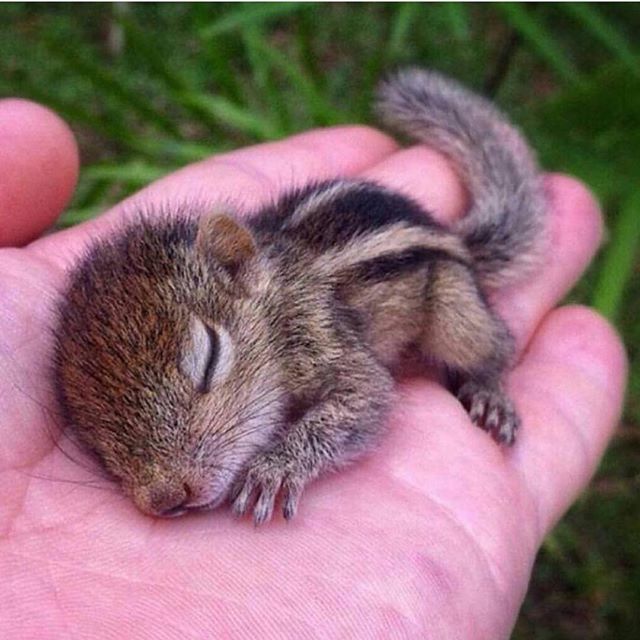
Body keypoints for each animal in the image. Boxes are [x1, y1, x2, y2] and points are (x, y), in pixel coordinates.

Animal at [53, 69, 545, 525]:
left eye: (210, 359)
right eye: (89, 431)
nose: (166, 498)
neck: (277, 302)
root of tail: (451, 235)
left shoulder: (323, 339)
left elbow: (366, 399)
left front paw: (274, 468)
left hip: (454, 308)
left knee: (495, 344)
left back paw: (490, 392)